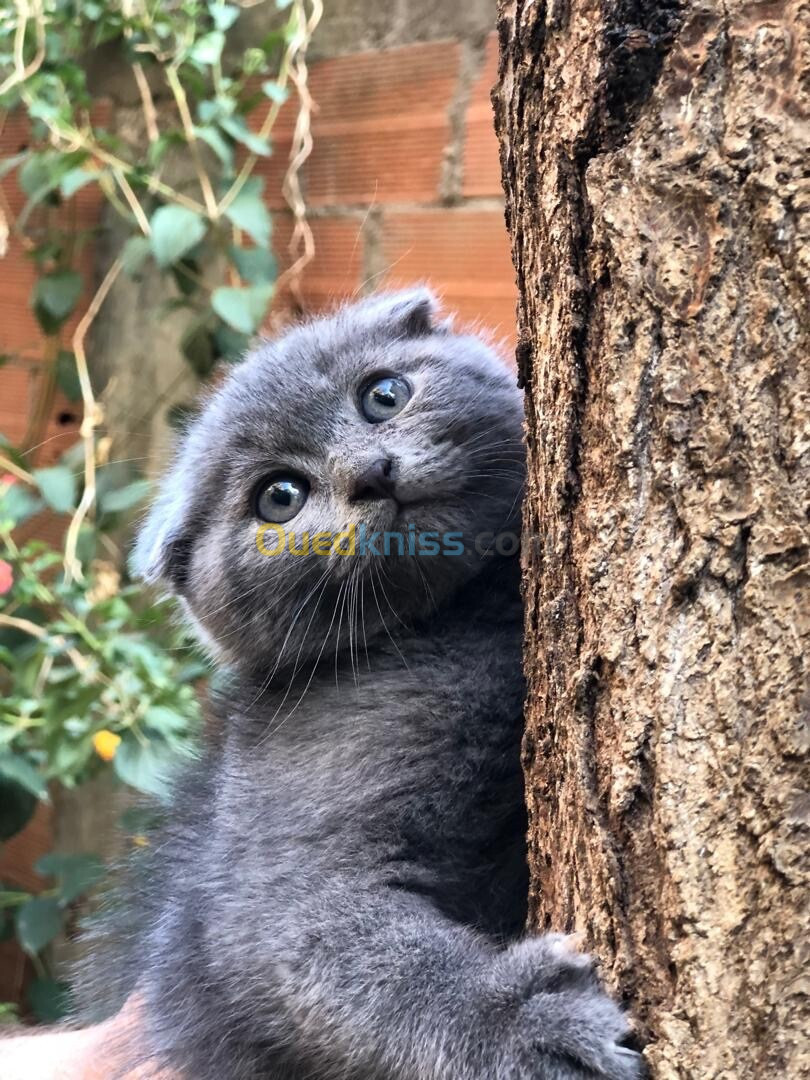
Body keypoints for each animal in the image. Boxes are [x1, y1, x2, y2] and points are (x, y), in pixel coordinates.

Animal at [125, 291, 639, 1080]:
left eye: (384, 395)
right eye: (279, 496)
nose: (372, 470)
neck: (467, 614)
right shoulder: (275, 887)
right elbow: (336, 955)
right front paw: (524, 1028)